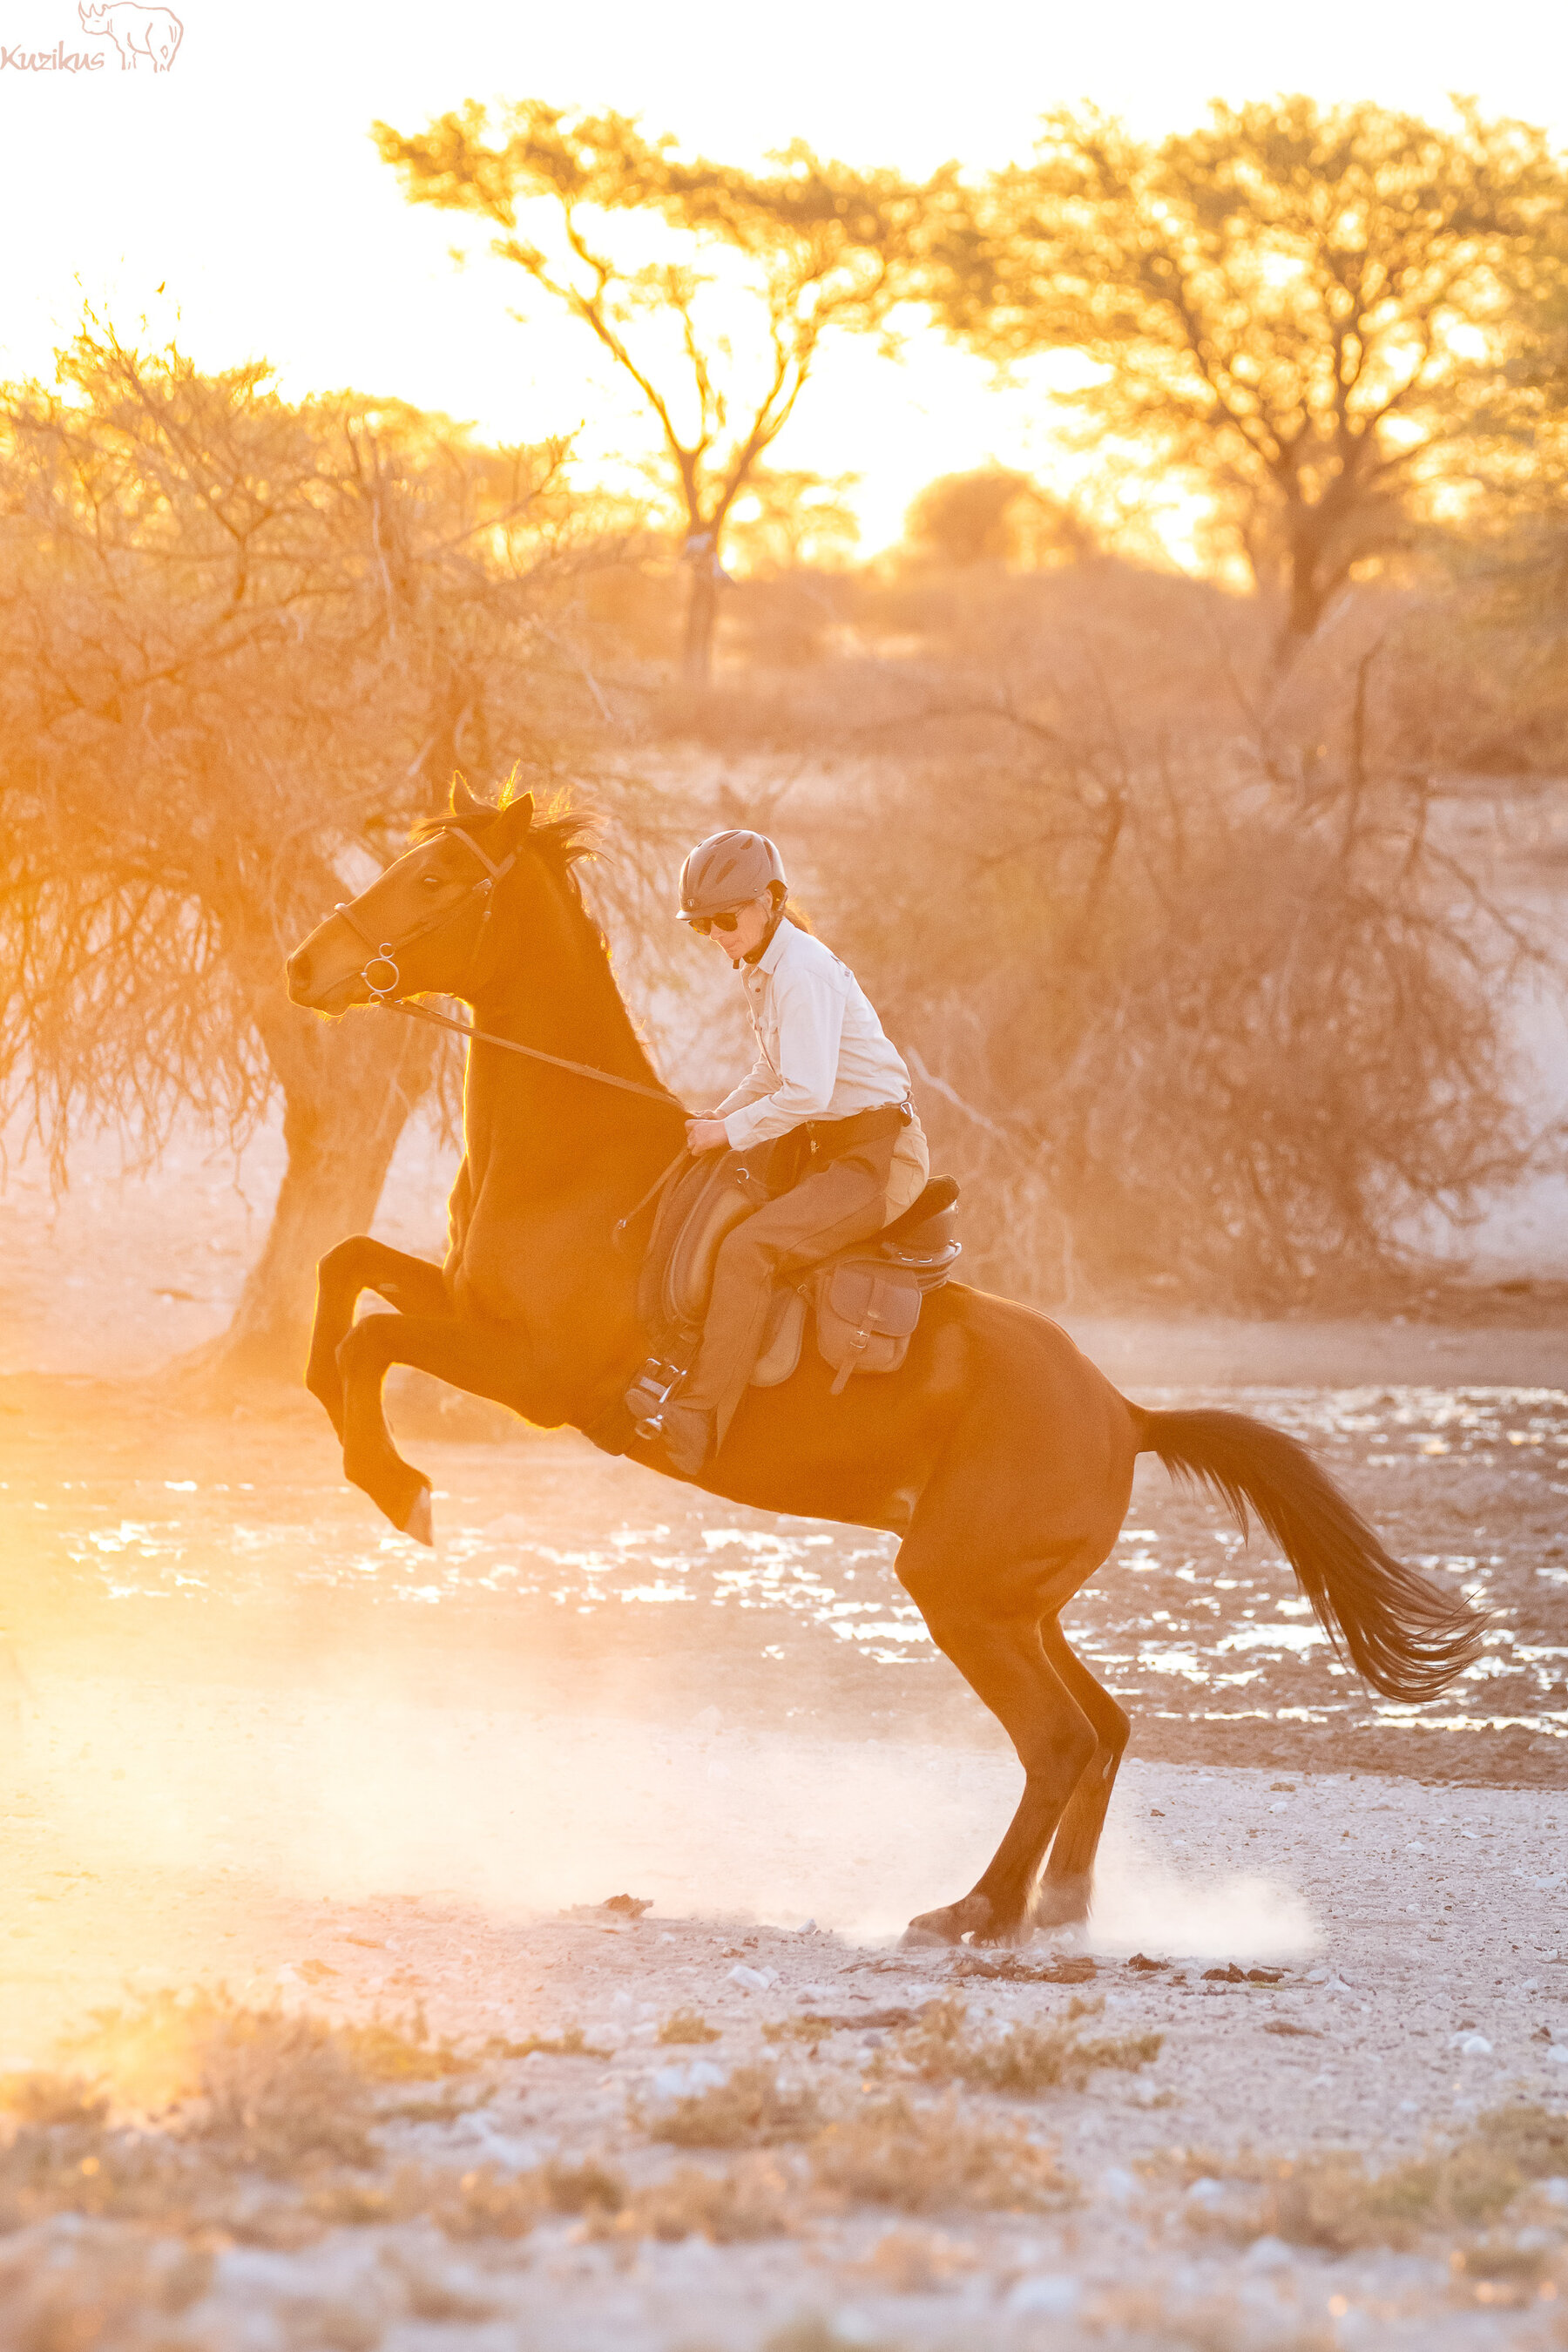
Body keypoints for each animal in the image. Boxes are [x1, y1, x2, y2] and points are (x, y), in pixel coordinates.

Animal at [284, 777, 1484, 1947]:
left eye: (435, 878)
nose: (304, 967)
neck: (581, 1162)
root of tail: (1126, 1413)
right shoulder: (461, 1308)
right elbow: (345, 1271)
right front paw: (335, 1420)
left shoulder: (526, 1373)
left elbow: (372, 1339)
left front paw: (397, 1486)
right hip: (1016, 1604)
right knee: (1104, 1729)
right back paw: (1057, 1910)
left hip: (962, 1598)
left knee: (1058, 1740)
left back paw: (976, 1913)